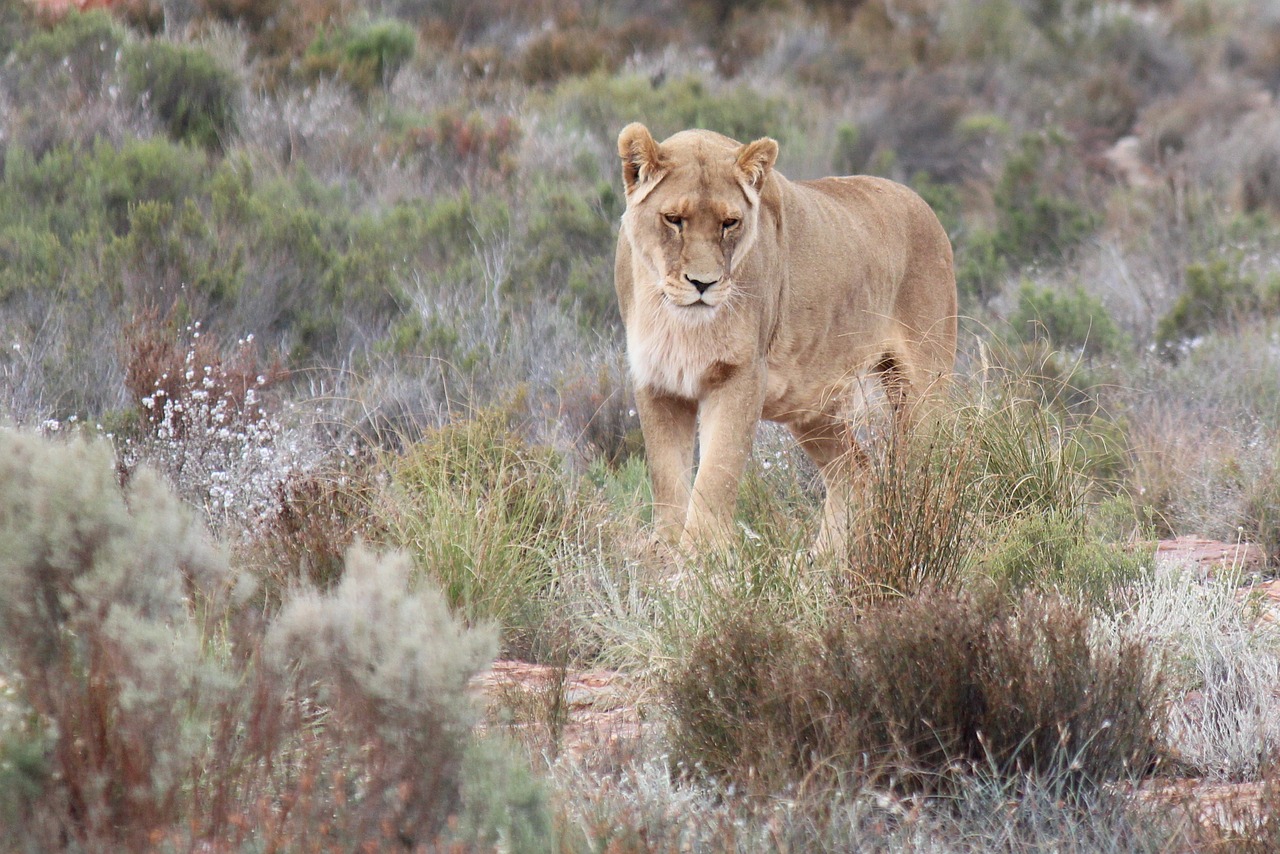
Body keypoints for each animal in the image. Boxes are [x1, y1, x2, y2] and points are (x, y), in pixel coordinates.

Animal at [614, 121, 957, 555]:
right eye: (674, 219)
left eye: (730, 223)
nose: (703, 284)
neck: (676, 319)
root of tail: (924, 206)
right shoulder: (656, 382)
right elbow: (667, 479)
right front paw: (666, 552)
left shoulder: (741, 376)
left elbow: (716, 474)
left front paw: (701, 560)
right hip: (815, 405)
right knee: (855, 471)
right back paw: (825, 561)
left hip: (924, 388)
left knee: (928, 469)